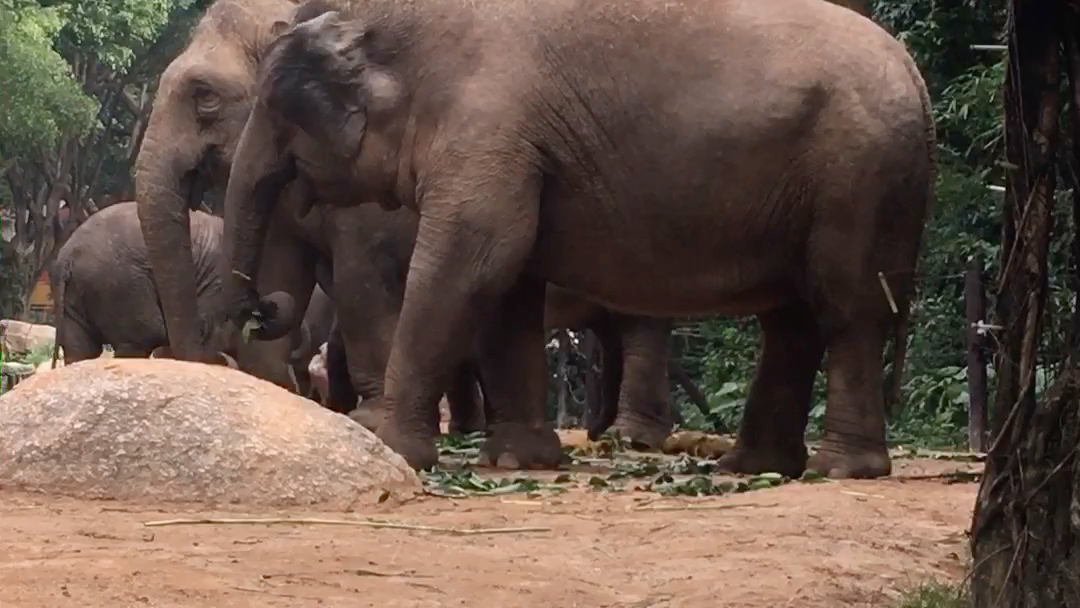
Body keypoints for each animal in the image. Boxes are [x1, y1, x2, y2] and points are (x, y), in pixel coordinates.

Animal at [49, 203, 239, 367]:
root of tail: (69, 257)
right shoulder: (217, 277)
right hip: (120, 284)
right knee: (144, 338)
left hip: (78, 290)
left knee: (81, 347)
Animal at [132, 0, 673, 447]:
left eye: (204, 95)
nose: (210, 352)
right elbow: (281, 270)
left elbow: (361, 281)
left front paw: (368, 422)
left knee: (640, 329)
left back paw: (629, 438)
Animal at [223, 0, 933, 481]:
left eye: (276, 111)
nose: (262, 307)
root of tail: (913, 71)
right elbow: (508, 283)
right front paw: (519, 461)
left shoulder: (488, 121)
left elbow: (470, 260)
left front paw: (389, 443)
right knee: (792, 320)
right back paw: (752, 467)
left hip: (859, 177)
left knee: (845, 309)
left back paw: (839, 470)